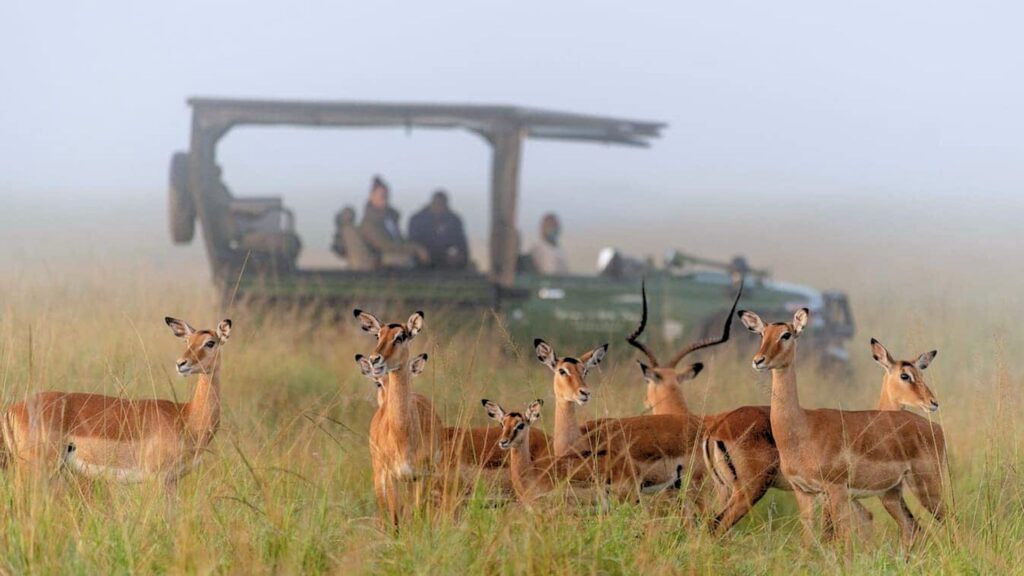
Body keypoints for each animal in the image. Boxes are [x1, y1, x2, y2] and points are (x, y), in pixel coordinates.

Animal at [1, 313, 232, 487]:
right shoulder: (157, 479)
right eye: (187, 341)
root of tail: (12, 410)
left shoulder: (172, 481)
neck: (187, 416)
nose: (181, 364)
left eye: (210, 342)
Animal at [729, 307, 942, 545]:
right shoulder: (805, 492)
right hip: (893, 494)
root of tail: (935, 428)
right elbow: (810, 540)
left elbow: (841, 538)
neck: (801, 427)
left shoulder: (835, 490)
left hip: (926, 487)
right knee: (911, 527)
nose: (759, 360)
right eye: (762, 334)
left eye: (786, 334)